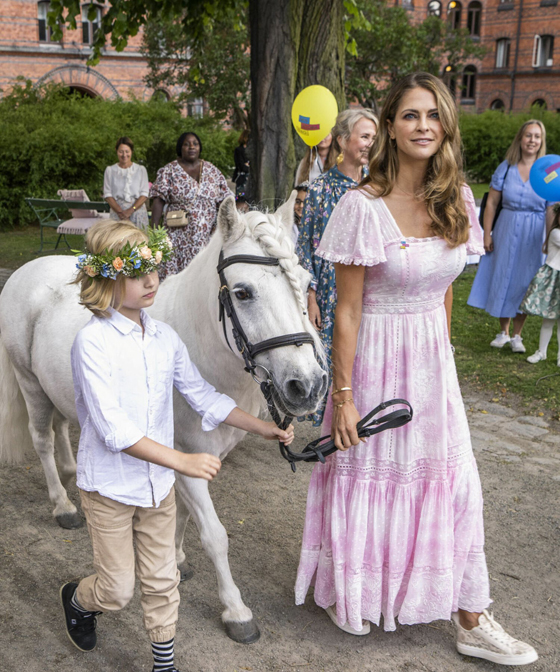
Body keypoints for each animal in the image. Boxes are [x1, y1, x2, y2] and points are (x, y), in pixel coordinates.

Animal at [0, 196, 326, 644]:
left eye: (306, 281)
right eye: (243, 292)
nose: (307, 386)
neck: (198, 344)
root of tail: (25, 271)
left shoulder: (199, 459)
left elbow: (184, 516)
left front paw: (176, 558)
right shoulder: (185, 459)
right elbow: (214, 534)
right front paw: (236, 611)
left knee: (62, 426)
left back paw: (71, 473)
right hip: (30, 384)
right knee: (42, 439)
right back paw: (62, 505)